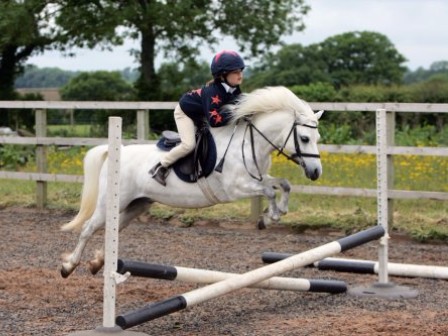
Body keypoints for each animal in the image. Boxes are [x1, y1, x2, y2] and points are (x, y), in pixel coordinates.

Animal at [61, 86, 324, 278]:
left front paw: (276, 213)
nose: (315, 172)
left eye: (317, 137)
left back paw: (97, 262)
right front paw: (271, 217)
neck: (250, 143)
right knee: (88, 228)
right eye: (304, 138)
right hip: (111, 203)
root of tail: (117, 152)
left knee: (112, 229)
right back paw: (69, 266)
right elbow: (269, 192)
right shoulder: (237, 188)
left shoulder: (257, 179)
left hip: (137, 205)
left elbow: (283, 184)